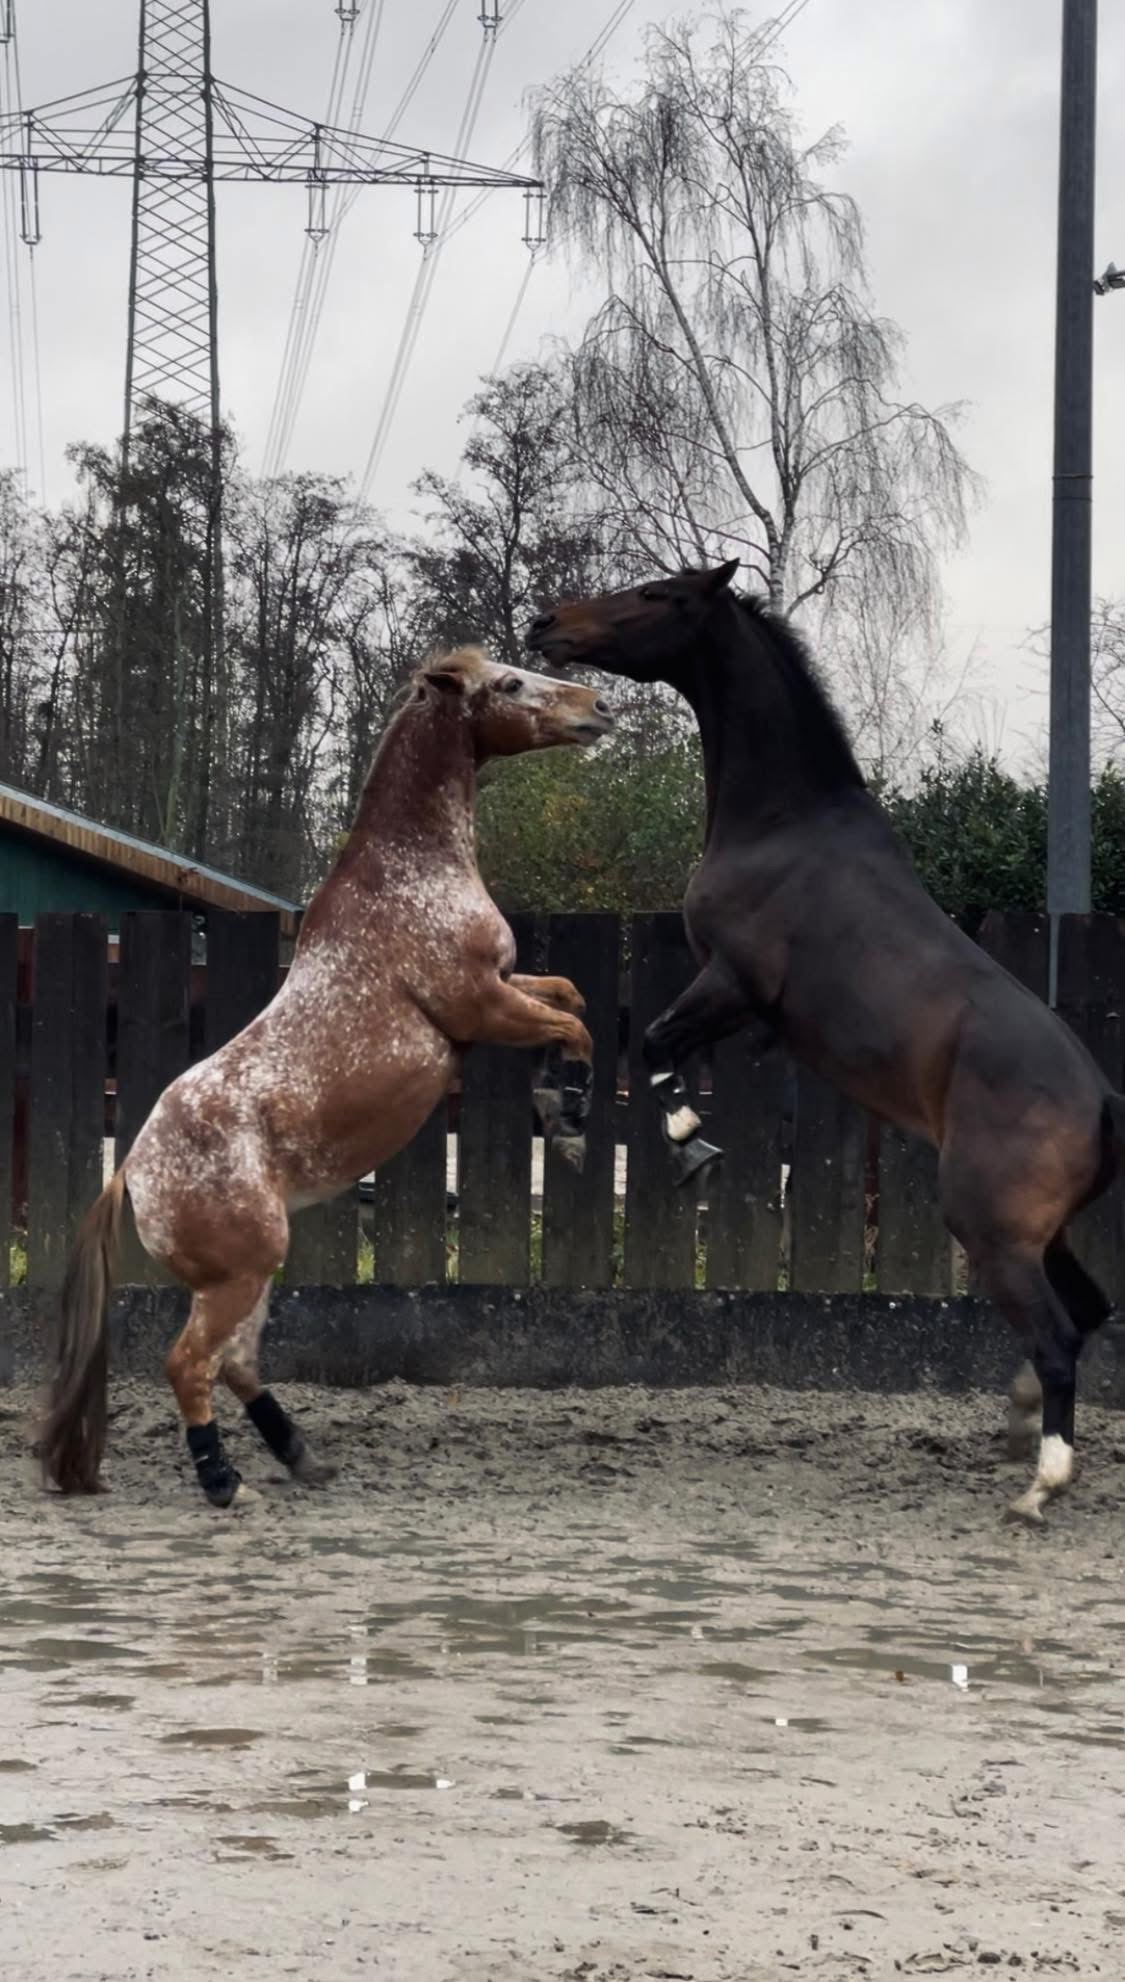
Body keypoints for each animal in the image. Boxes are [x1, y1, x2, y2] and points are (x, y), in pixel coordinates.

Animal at [40, 646, 614, 1510]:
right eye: (509, 684)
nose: (598, 707)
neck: (410, 877)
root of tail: (131, 1173)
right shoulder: (478, 1005)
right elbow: (573, 1025)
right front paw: (570, 1117)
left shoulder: (506, 989)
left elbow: (571, 996)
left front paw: (557, 1097)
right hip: (239, 1274)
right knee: (190, 1365)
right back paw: (223, 1482)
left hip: (249, 1274)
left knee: (237, 1364)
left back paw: (301, 1457)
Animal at [528, 561, 1125, 1526]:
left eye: (657, 594)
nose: (547, 623)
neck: (785, 822)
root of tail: (1103, 1101)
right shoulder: (747, 1012)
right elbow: (644, 1047)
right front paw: (577, 1111)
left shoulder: (730, 981)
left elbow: (652, 1045)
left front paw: (687, 1145)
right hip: (1042, 1233)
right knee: (1090, 1311)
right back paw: (1018, 1422)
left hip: (992, 1230)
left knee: (1058, 1334)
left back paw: (1041, 1483)